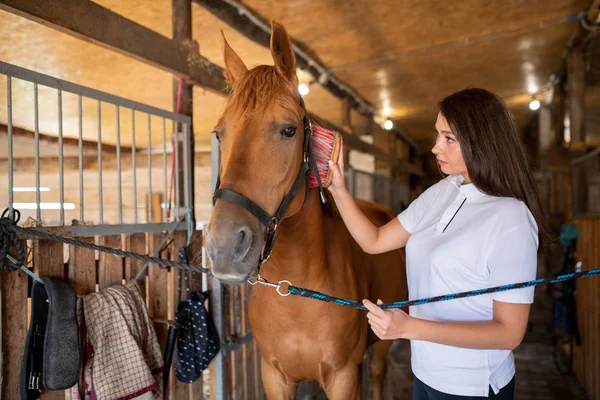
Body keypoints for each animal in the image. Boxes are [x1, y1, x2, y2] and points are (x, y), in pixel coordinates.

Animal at [203, 22, 408, 400]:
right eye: (219, 134)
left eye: (289, 129)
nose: (224, 246)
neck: (295, 291)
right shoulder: (275, 376)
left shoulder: (343, 377)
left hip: (384, 344)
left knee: (377, 374)